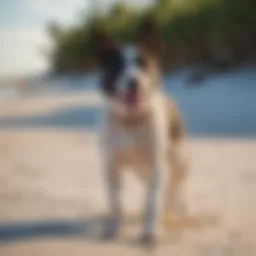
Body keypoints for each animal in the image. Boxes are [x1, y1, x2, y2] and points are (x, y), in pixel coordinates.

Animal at [91, 18, 189, 246]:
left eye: (142, 63)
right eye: (118, 66)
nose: (133, 82)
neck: (131, 121)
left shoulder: (156, 165)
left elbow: (153, 201)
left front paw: (151, 231)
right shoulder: (111, 167)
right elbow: (115, 201)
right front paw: (113, 227)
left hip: (178, 159)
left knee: (173, 187)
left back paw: (173, 208)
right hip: (142, 170)